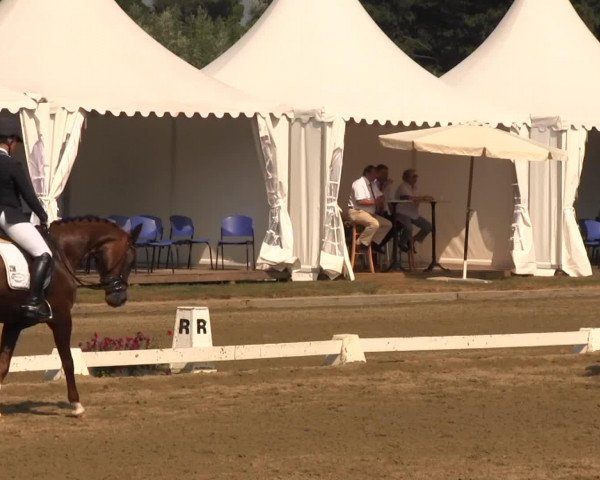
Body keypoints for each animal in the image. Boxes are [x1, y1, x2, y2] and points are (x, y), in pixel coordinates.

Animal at [0, 218, 142, 416]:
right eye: (129, 260)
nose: (119, 299)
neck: (61, 252)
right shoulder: (61, 317)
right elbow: (68, 361)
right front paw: (76, 404)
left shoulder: (14, 323)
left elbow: (3, 365)